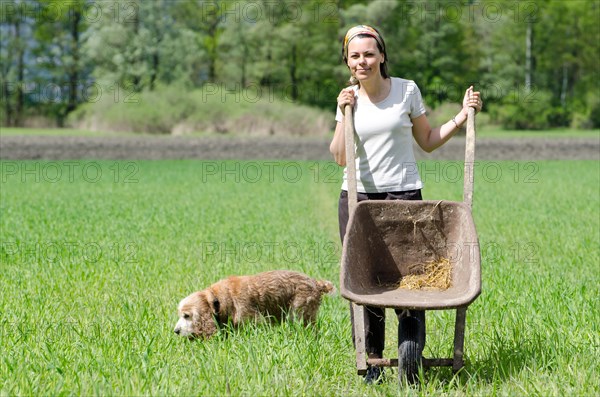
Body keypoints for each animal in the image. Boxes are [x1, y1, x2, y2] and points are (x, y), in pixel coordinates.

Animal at [173, 270, 336, 338]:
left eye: (186, 316)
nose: (175, 331)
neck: (218, 299)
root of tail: (316, 283)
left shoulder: (255, 322)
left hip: (298, 315)